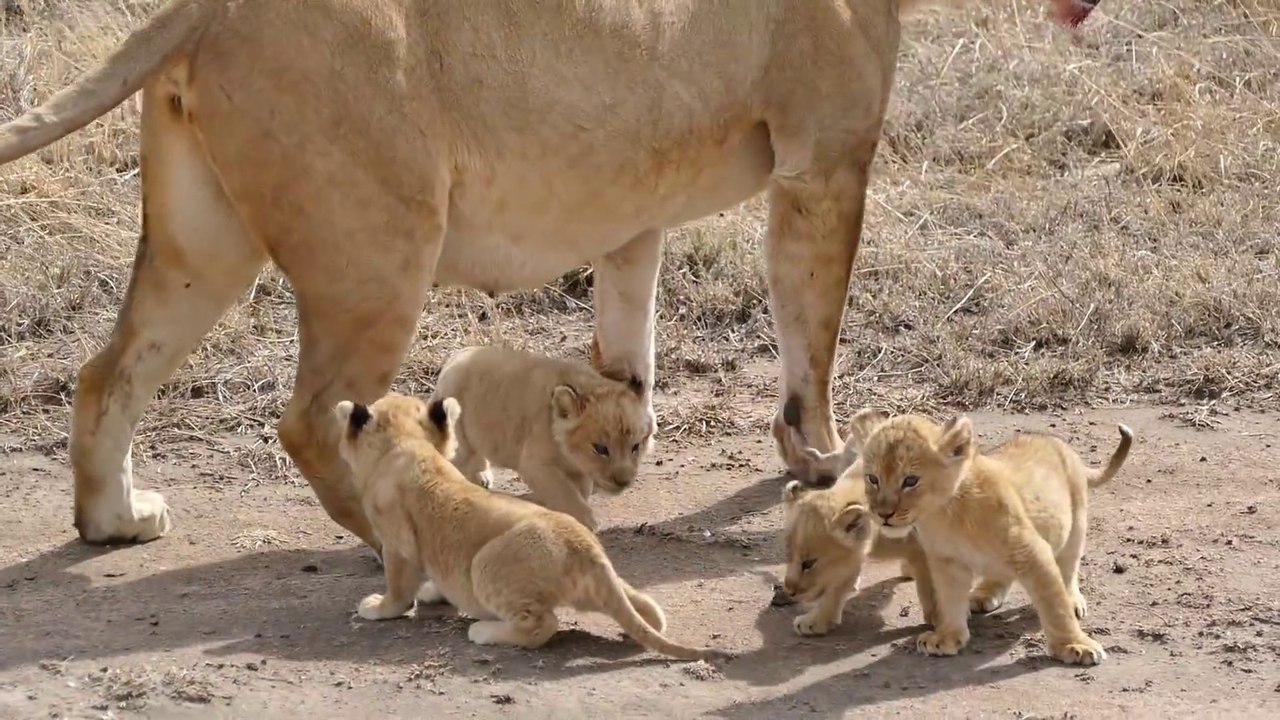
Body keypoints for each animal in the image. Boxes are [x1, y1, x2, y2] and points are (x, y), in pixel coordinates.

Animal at [332, 391, 725, 662]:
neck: (407, 445)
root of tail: (584, 550)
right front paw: (433, 592)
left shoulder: (396, 544)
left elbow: (398, 590)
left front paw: (378, 607)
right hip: (608, 584)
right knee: (648, 611)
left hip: (485, 565)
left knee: (543, 625)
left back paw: (483, 631)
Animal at [428, 345, 654, 532]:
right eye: (601, 449)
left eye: (636, 446)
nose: (624, 481)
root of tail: (453, 359)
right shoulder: (536, 465)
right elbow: (565, 492)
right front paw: (586, 522)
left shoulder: (579, 472)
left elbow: (579, 492)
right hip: (460, 434)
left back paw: (482, 477)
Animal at [780, 473, 938, 636]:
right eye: (788, 555)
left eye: (809, 563)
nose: (789, 591)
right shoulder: (852, 560)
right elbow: (836, 590)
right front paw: (818, 621)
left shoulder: (924, 546)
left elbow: (931, 586)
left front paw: (937, 621)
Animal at [849, 409, 1133, 666]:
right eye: (872, 478)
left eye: (910, 480)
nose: (883, 514)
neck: (944, 515)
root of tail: (1058, 443)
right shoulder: (947, 562)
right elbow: (950, 599)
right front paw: (948, 637)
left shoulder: (1032, 551)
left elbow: (1055, 605)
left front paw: (1074, 645)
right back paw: (983, 595)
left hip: (1076, 525)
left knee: (1069, 567)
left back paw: (1072, 599)